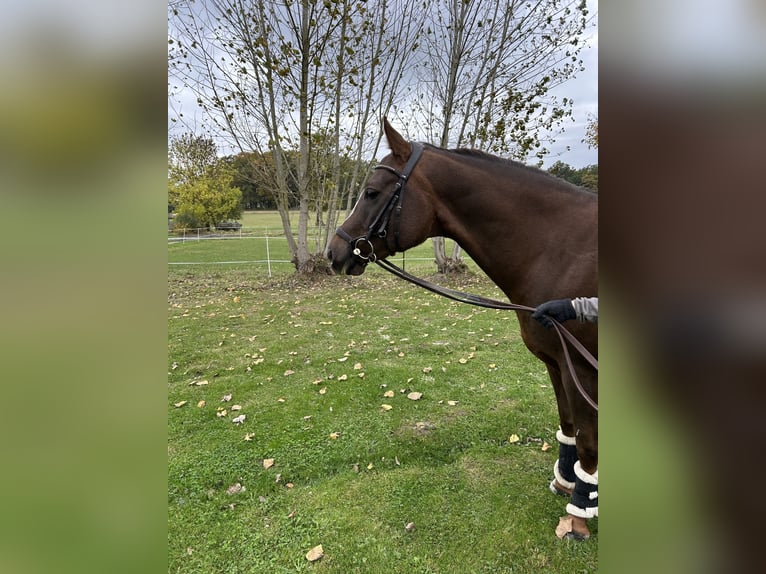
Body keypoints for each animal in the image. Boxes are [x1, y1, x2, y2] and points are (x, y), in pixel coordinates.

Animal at [327, 118, 598, 539]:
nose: (334, 253)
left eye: (371, 192)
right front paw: (566, 484)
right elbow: (568, 426)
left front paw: (579, 517)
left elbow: (588, 442)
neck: (562, 250)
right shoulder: (557, 363)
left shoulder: (581, 370)